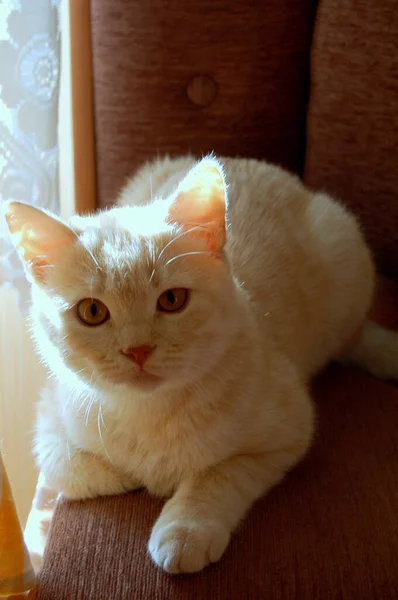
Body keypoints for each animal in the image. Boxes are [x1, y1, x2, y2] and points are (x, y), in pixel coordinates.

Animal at [3, 157, 398, 576]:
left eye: (172, 300)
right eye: (92, 311)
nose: (138, 350)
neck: (150, 412)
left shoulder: (287, 433)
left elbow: (218, 474)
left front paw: (185, 529)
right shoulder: (50, 416)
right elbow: (67, 468)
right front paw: (129, 476)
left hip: (344, 261)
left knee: (354, 337)